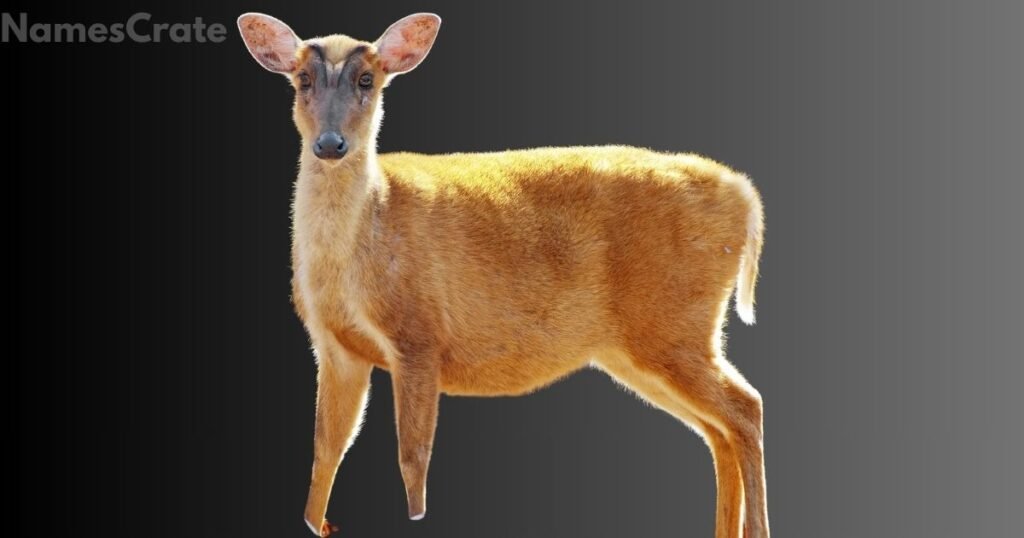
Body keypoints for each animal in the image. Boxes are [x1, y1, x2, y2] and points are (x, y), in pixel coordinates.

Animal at [237, 12, 768, 538]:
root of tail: (746, 197)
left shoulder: (418, 333)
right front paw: (317, 521)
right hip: (641, 345)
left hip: (673, 323)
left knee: (745, 408)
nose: (330, 144)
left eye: (368, 78)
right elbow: (326, 450)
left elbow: (412, 455)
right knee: (718, 429)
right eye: (302, 80)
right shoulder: (335, 346)